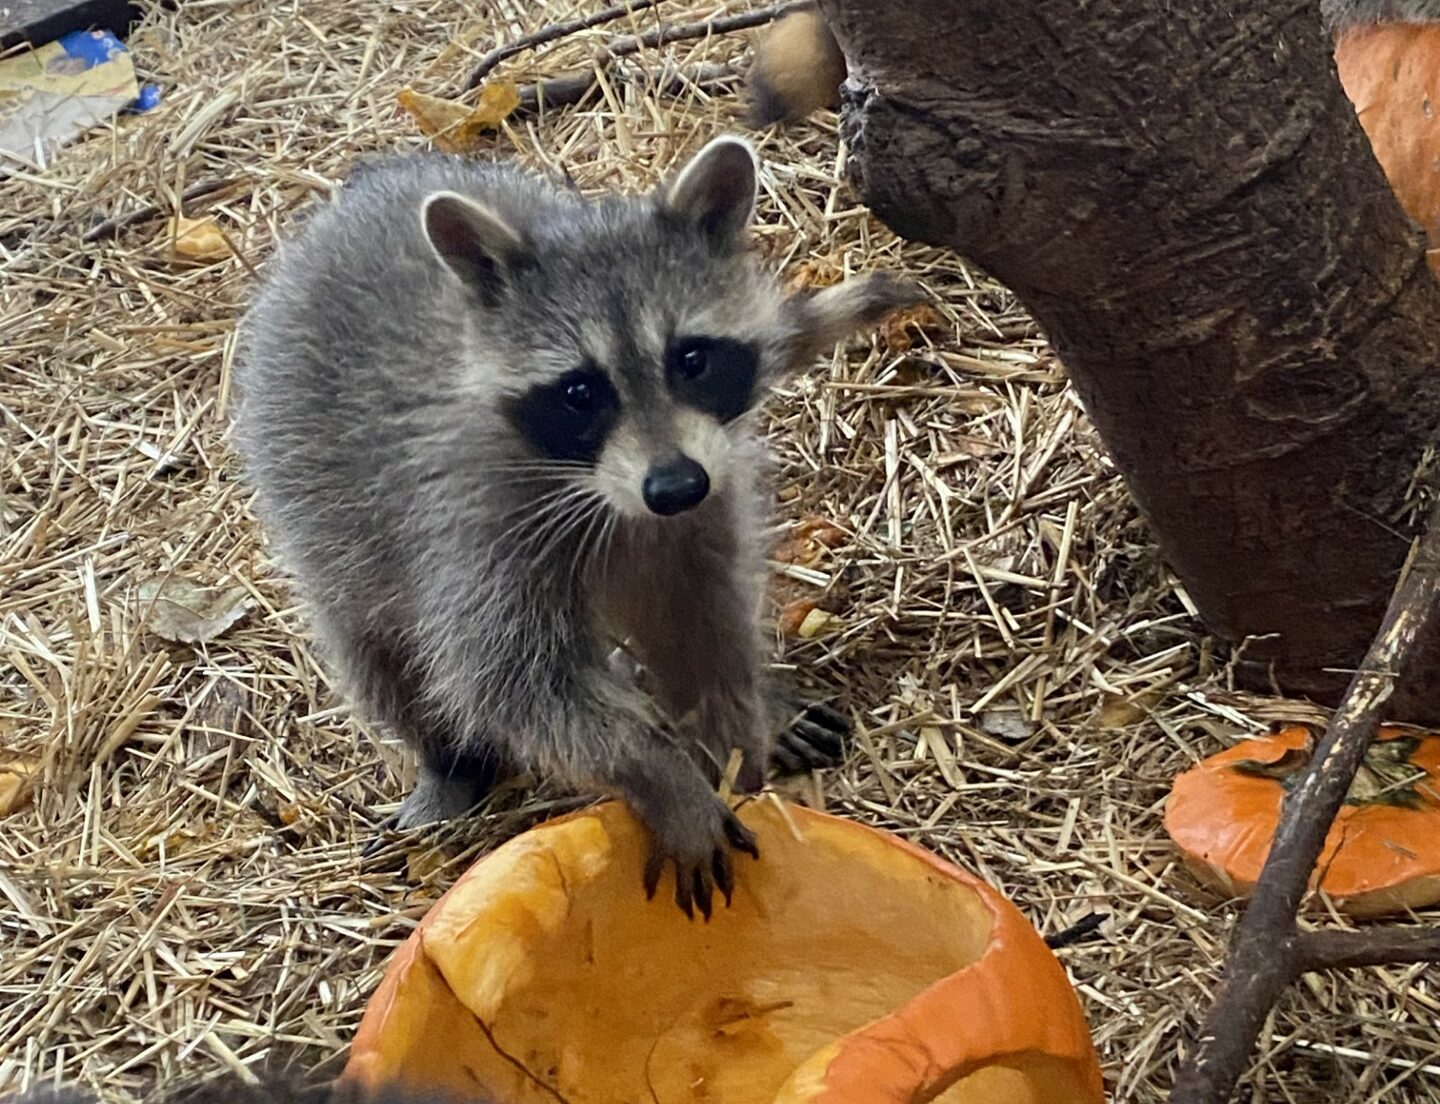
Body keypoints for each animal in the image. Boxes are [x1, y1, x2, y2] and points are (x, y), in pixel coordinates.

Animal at [232, 137, 917, 917]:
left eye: (691, 359)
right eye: (580, 392)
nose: (675, 486)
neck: (609, 495)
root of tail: (366, 187)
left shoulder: (702, 503)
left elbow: (702, 625)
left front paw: (738, 741)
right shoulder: (467, 524)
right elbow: (514, 683)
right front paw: (663, 777)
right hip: (319, 509)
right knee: (379, 651)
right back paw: (449, 764)